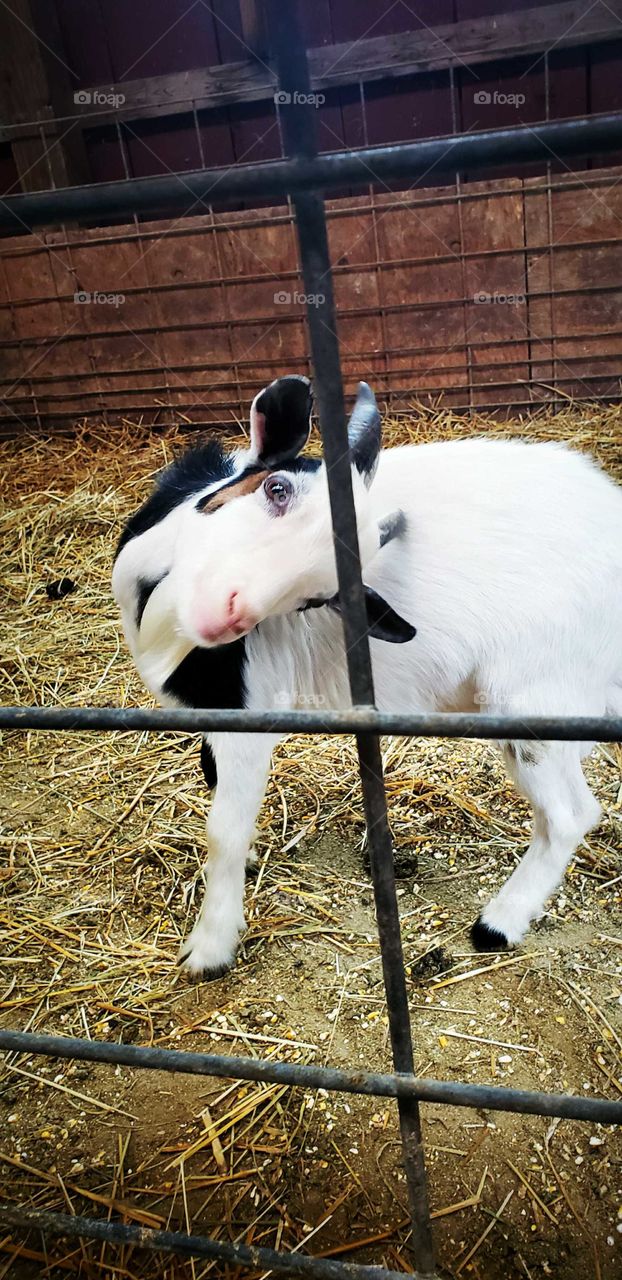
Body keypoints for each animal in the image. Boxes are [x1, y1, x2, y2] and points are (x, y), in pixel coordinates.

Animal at [112, 376, 622, 979]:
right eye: (276, 488)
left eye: (317, 598)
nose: (225, 615)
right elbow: (212, 779)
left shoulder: (248, 716)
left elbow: (223, 829)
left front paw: (211, 946)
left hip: (538, 696)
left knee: (569, 814)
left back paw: (498, 923)